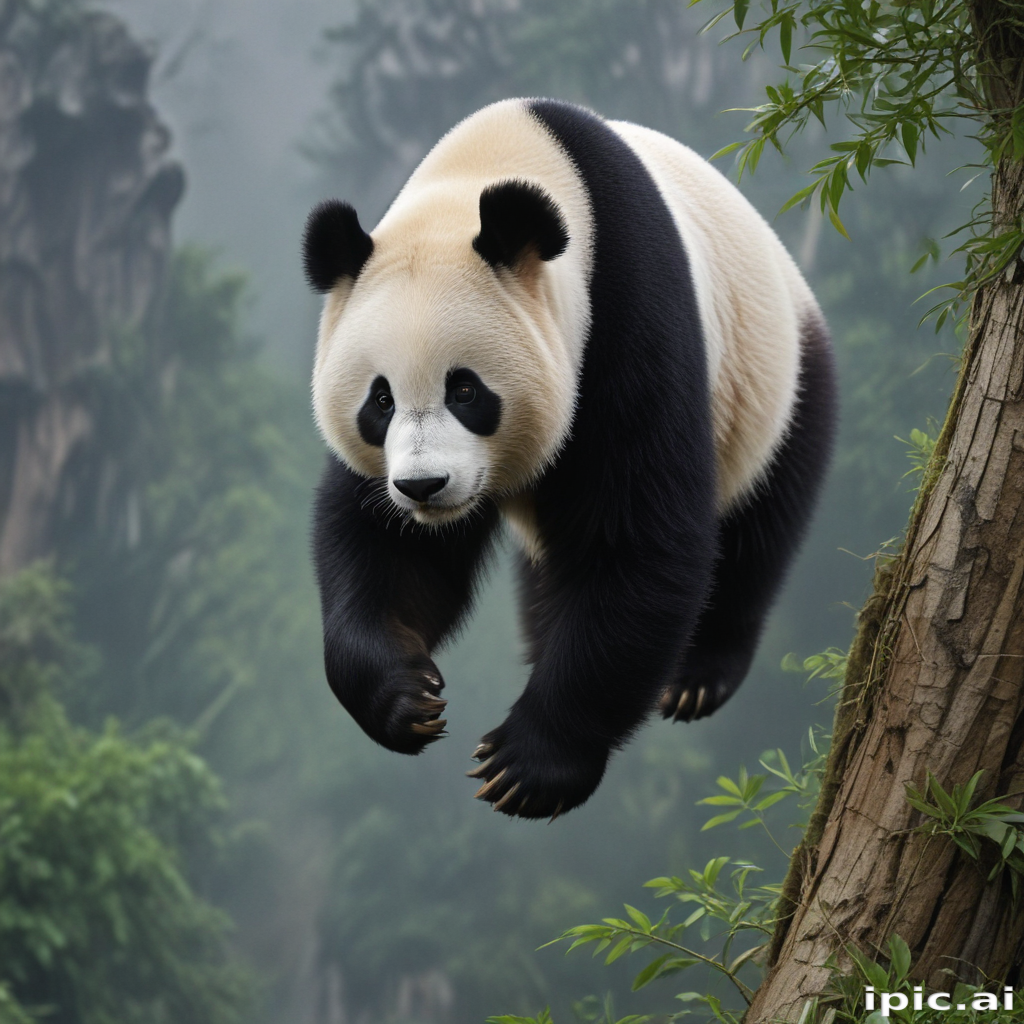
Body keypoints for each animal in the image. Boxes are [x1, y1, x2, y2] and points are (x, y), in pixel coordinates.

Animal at [303, 98, 836, 820]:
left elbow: (638, 540)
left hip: (774, 388)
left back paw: (698, 676)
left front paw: (529, 766)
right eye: (379, 401)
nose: (424, 486)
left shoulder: (625, 311)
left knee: (758, 532)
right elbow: (384, 546)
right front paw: (405, 697)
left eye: (465, 390)